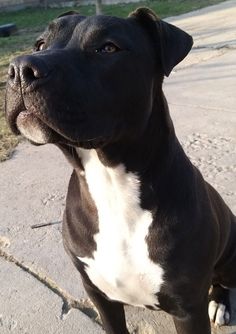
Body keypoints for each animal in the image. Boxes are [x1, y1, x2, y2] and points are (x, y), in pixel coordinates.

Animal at [5, 7, 236, 334]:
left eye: (108, 48)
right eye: (39, 44)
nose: (19, 69)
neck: (112, 182)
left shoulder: (188, 308)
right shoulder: (98, 294)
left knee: (223, 281)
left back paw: (220, 303)